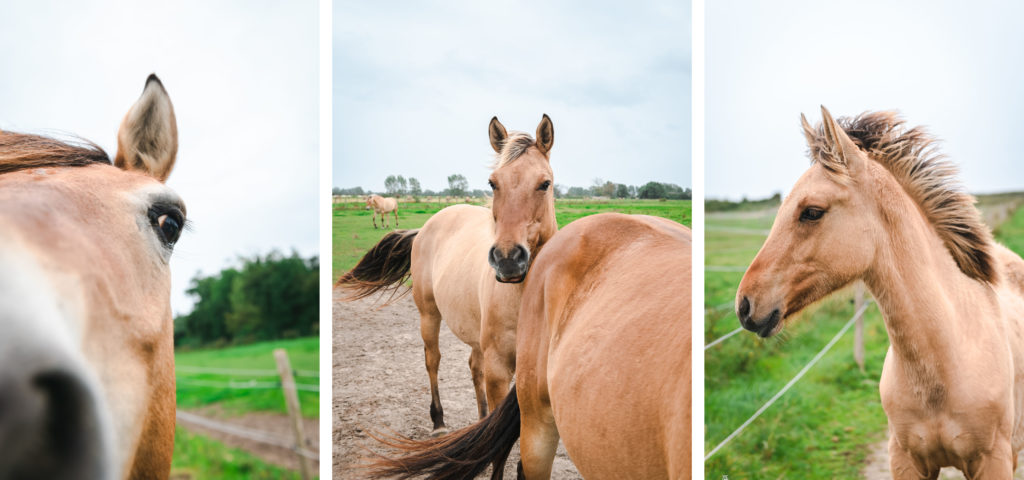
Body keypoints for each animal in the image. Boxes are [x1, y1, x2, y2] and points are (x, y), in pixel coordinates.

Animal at [337, 113, 557, 433]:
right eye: (493, 183)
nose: (507, 260)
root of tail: (430, 223)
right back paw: (438, 420)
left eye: (545, 183)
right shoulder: (499, 370)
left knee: (473, 368)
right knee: (433, 360)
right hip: (429, 315)